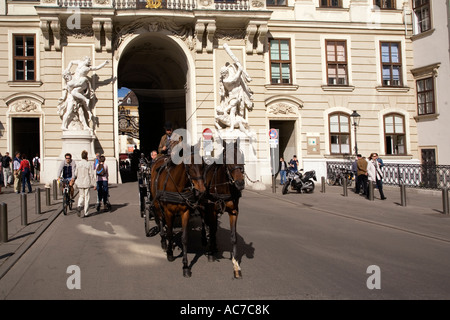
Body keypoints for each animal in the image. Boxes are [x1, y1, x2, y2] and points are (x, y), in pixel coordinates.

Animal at [151, 143, 207, 278]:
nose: (202, 190)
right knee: (161, 222)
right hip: (157, 205)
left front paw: (186, 266)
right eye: (190, 166)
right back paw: (164, 242)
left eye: (202, 164)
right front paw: (170, 253)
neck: (178, 185)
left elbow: (184, 238)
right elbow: (170, 233)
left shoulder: (185, 212)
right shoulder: (168, 212)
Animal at [200, 141, 244, 278]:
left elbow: (233, 237)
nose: (240, 183)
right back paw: (206, 240)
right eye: (227, 158)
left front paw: (235, 264)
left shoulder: (234, 211)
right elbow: (213, 229)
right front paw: (211, 253)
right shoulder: (212, 210)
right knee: (204, 221)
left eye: (242, 156)